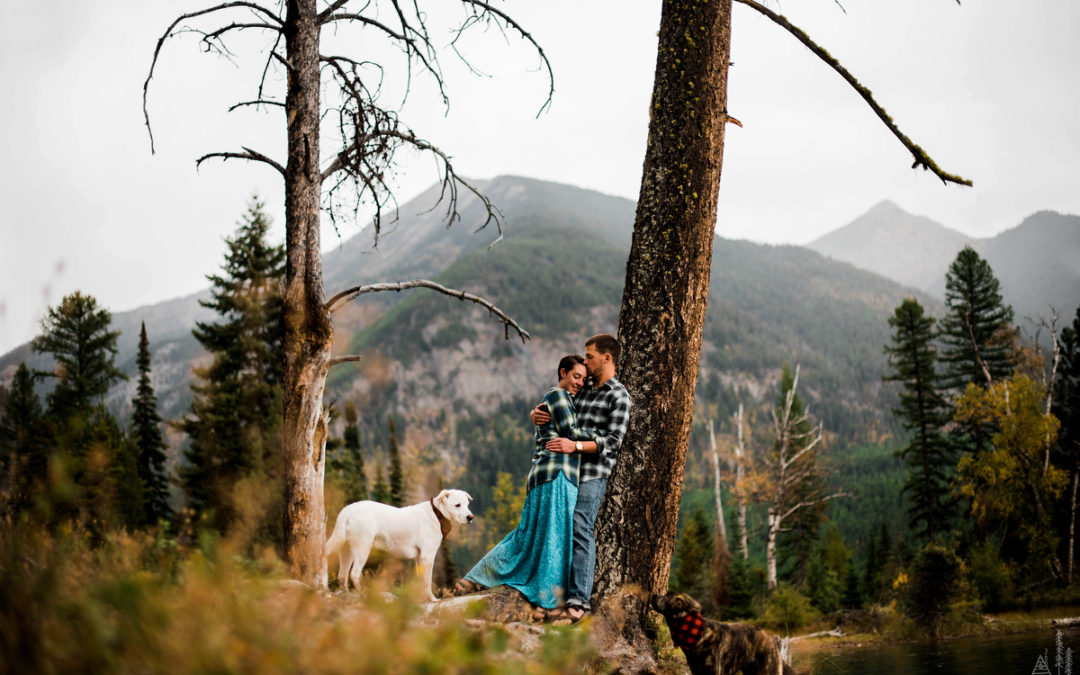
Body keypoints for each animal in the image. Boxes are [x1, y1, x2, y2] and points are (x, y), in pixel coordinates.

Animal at [326, 486, 475, 596]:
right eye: (457, 505)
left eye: (467, 504)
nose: (470, 517)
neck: (437, 514)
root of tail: (347, 510)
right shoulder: (427, 557)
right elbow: (427, 582)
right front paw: (432, 599)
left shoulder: (419, 559)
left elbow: (421, 582)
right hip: (362, 548)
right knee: (354, 574)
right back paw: (363, 593)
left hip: (347, 550)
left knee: (342, 575)